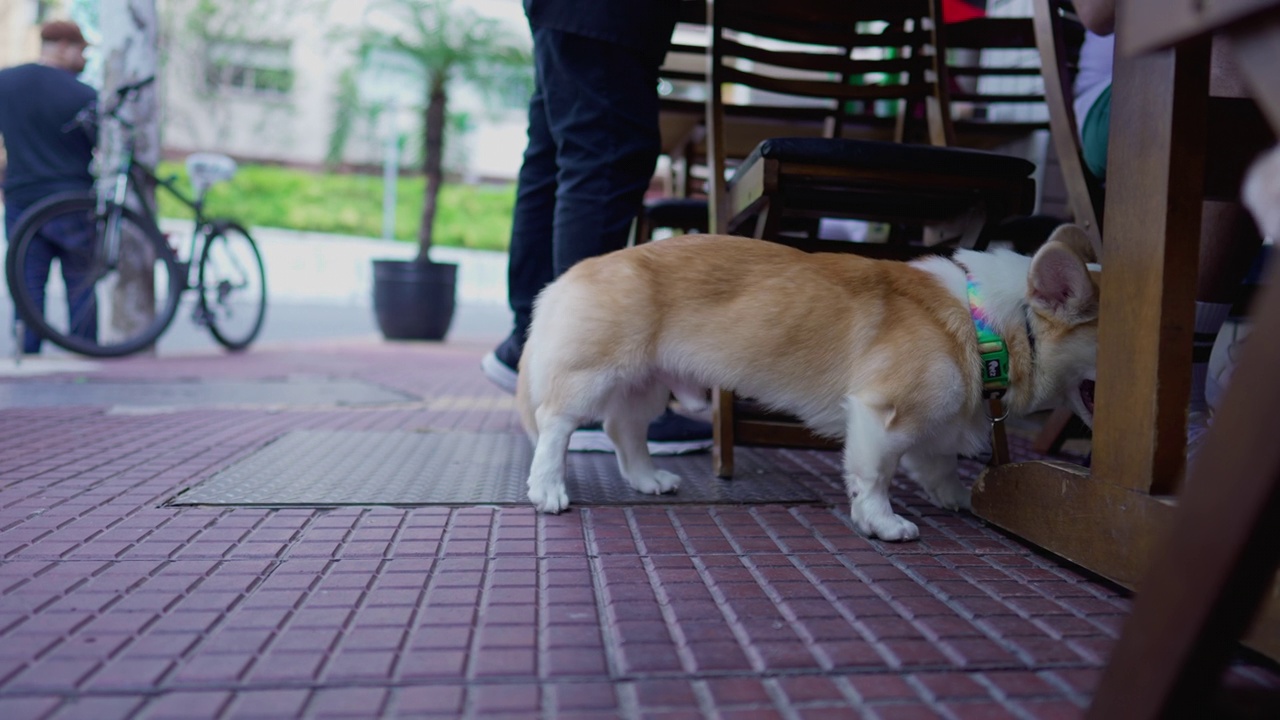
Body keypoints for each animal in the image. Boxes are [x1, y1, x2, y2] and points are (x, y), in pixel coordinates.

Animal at [514, 225, 1095, 538]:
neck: (989, 323)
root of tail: (567, 277)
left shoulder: (934, 423)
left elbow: (938, 466)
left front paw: (959, 498)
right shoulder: (881, 413)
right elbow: (874, 477)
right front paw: (884, 524)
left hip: (648, 384)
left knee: (624, 430)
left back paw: (647, 479)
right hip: (595, 374)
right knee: (555, 423)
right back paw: (547, 488)